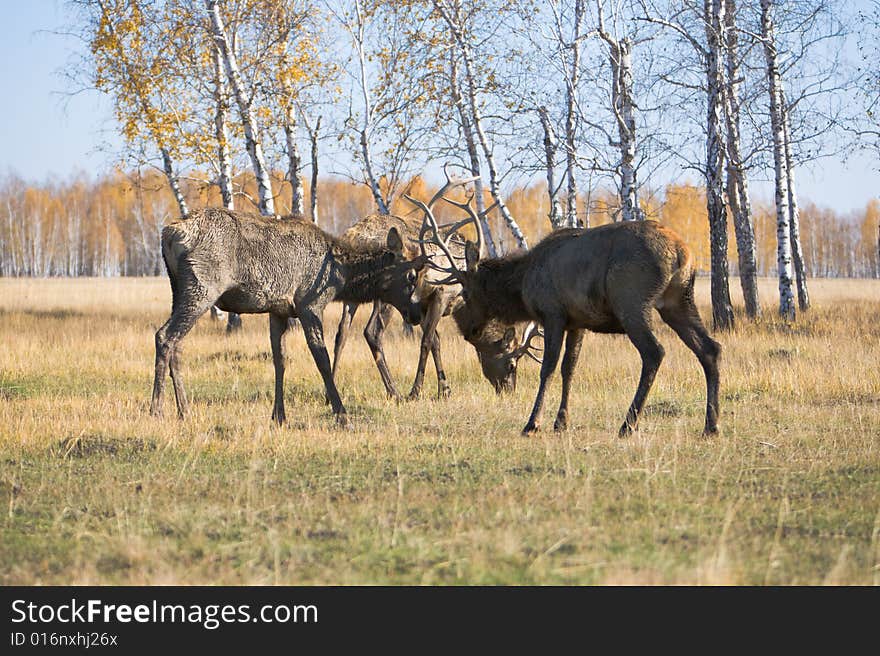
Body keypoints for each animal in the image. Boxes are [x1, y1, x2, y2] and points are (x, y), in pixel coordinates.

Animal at [150, 208, 426, 428]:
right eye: (412, 276)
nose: (416, 314)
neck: (341, 276)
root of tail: (169, 234)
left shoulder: (278, 311)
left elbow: (280, 360)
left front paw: (279, 416)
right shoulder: (309, 305)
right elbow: (322, 358)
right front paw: (341, 413)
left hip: (179, 289)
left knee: (177, 345)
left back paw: (184, 410)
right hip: (203, 288)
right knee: (164, 336)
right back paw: (157, 410)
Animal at [330, 167, 536, 398]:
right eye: (512, 363)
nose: (508, 390)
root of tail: (353, 236)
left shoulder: (421, 305)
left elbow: (436, 341)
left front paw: (444, 389)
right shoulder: (441, 293)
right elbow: (427, 340)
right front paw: (417, 390)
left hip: (352, 292)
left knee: (341, 333)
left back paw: (332, 386)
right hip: (386, 293)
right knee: (372, 332)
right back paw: (394, 391)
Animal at [418, 200, 720, 436]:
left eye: (466, 293)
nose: (470, 330)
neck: (522, 285)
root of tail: (683, 254)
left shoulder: (553, 314)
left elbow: (548, 368)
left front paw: (533, 423)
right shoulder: (579, 322)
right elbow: (569, 368)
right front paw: (561, 421)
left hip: (632, 301)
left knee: (655, 352)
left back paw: (628, 425)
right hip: (678, 302)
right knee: (710, 348)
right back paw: (711, 425)